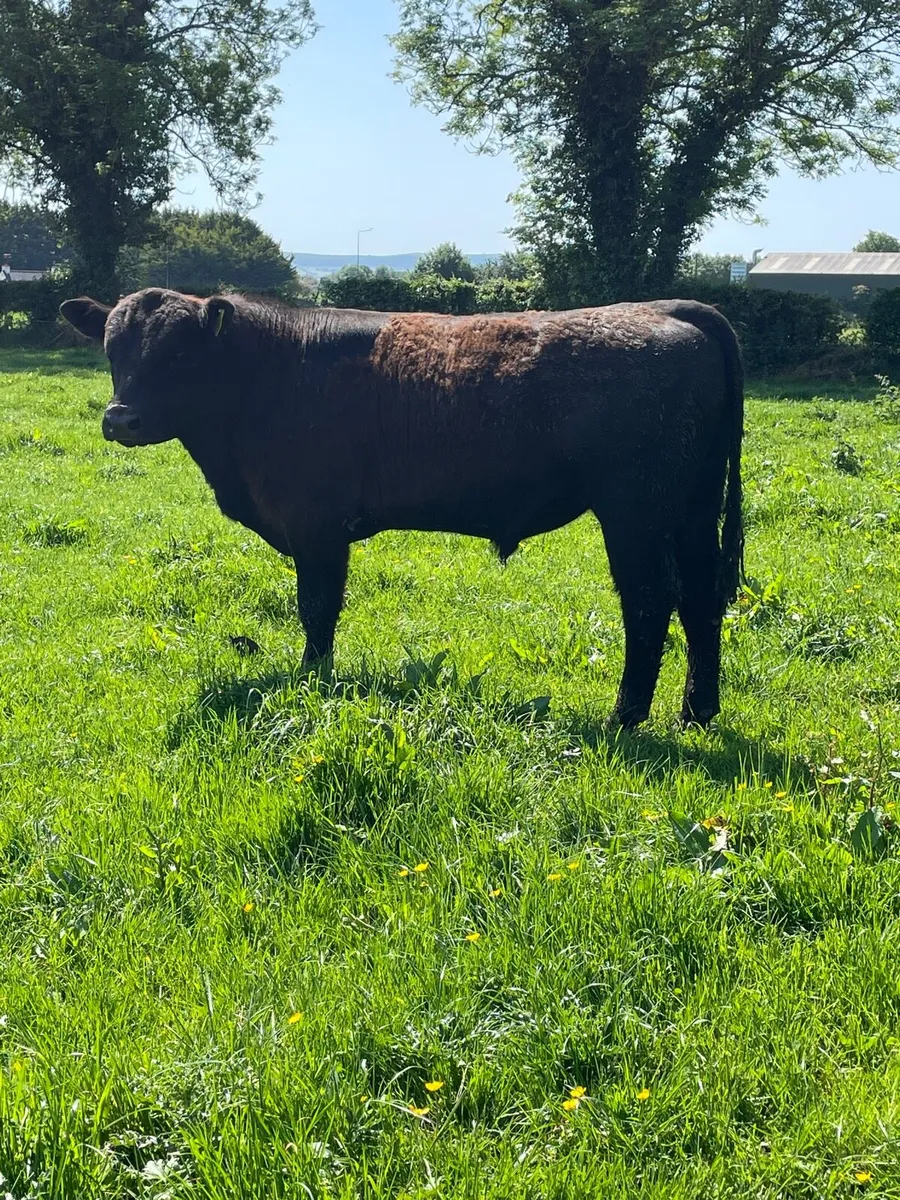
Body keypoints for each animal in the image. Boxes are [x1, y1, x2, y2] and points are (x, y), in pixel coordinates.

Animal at [61, 289, 743, 728]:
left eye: (179, 353)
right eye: (112, 350)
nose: (121, 420)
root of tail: (664, 308)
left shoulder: (316, 525)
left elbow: (317, 608)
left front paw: (313, 682)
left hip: (635, 510)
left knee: (650, 600)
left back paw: (625, 718)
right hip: (691, 509)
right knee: (701, 598)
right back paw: (696, 711)